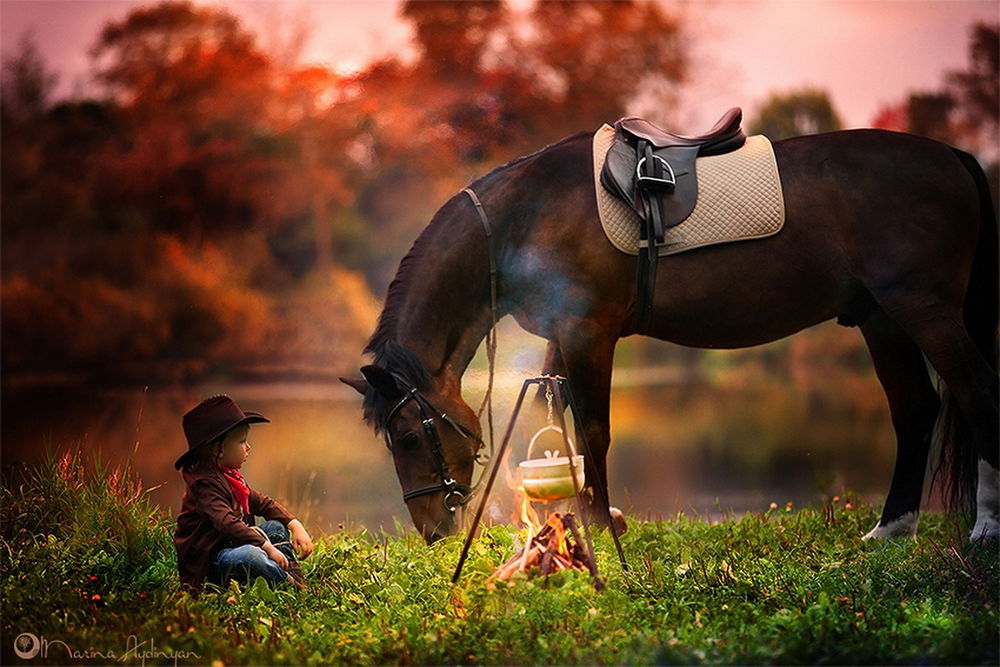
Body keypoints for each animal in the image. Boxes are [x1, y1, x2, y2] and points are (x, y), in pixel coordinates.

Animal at [340, 120, 996, 548]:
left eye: (406, 436)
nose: (432, 532)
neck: (520, 218)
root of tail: (954, 156)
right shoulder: (564, 336)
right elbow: (562, 423)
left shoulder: (589, 332)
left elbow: (594, 431)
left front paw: (599, 523)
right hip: (881, 317)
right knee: (916, 409)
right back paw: (892, 527)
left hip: (924, 309)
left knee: (974, 394)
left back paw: (985, 528)